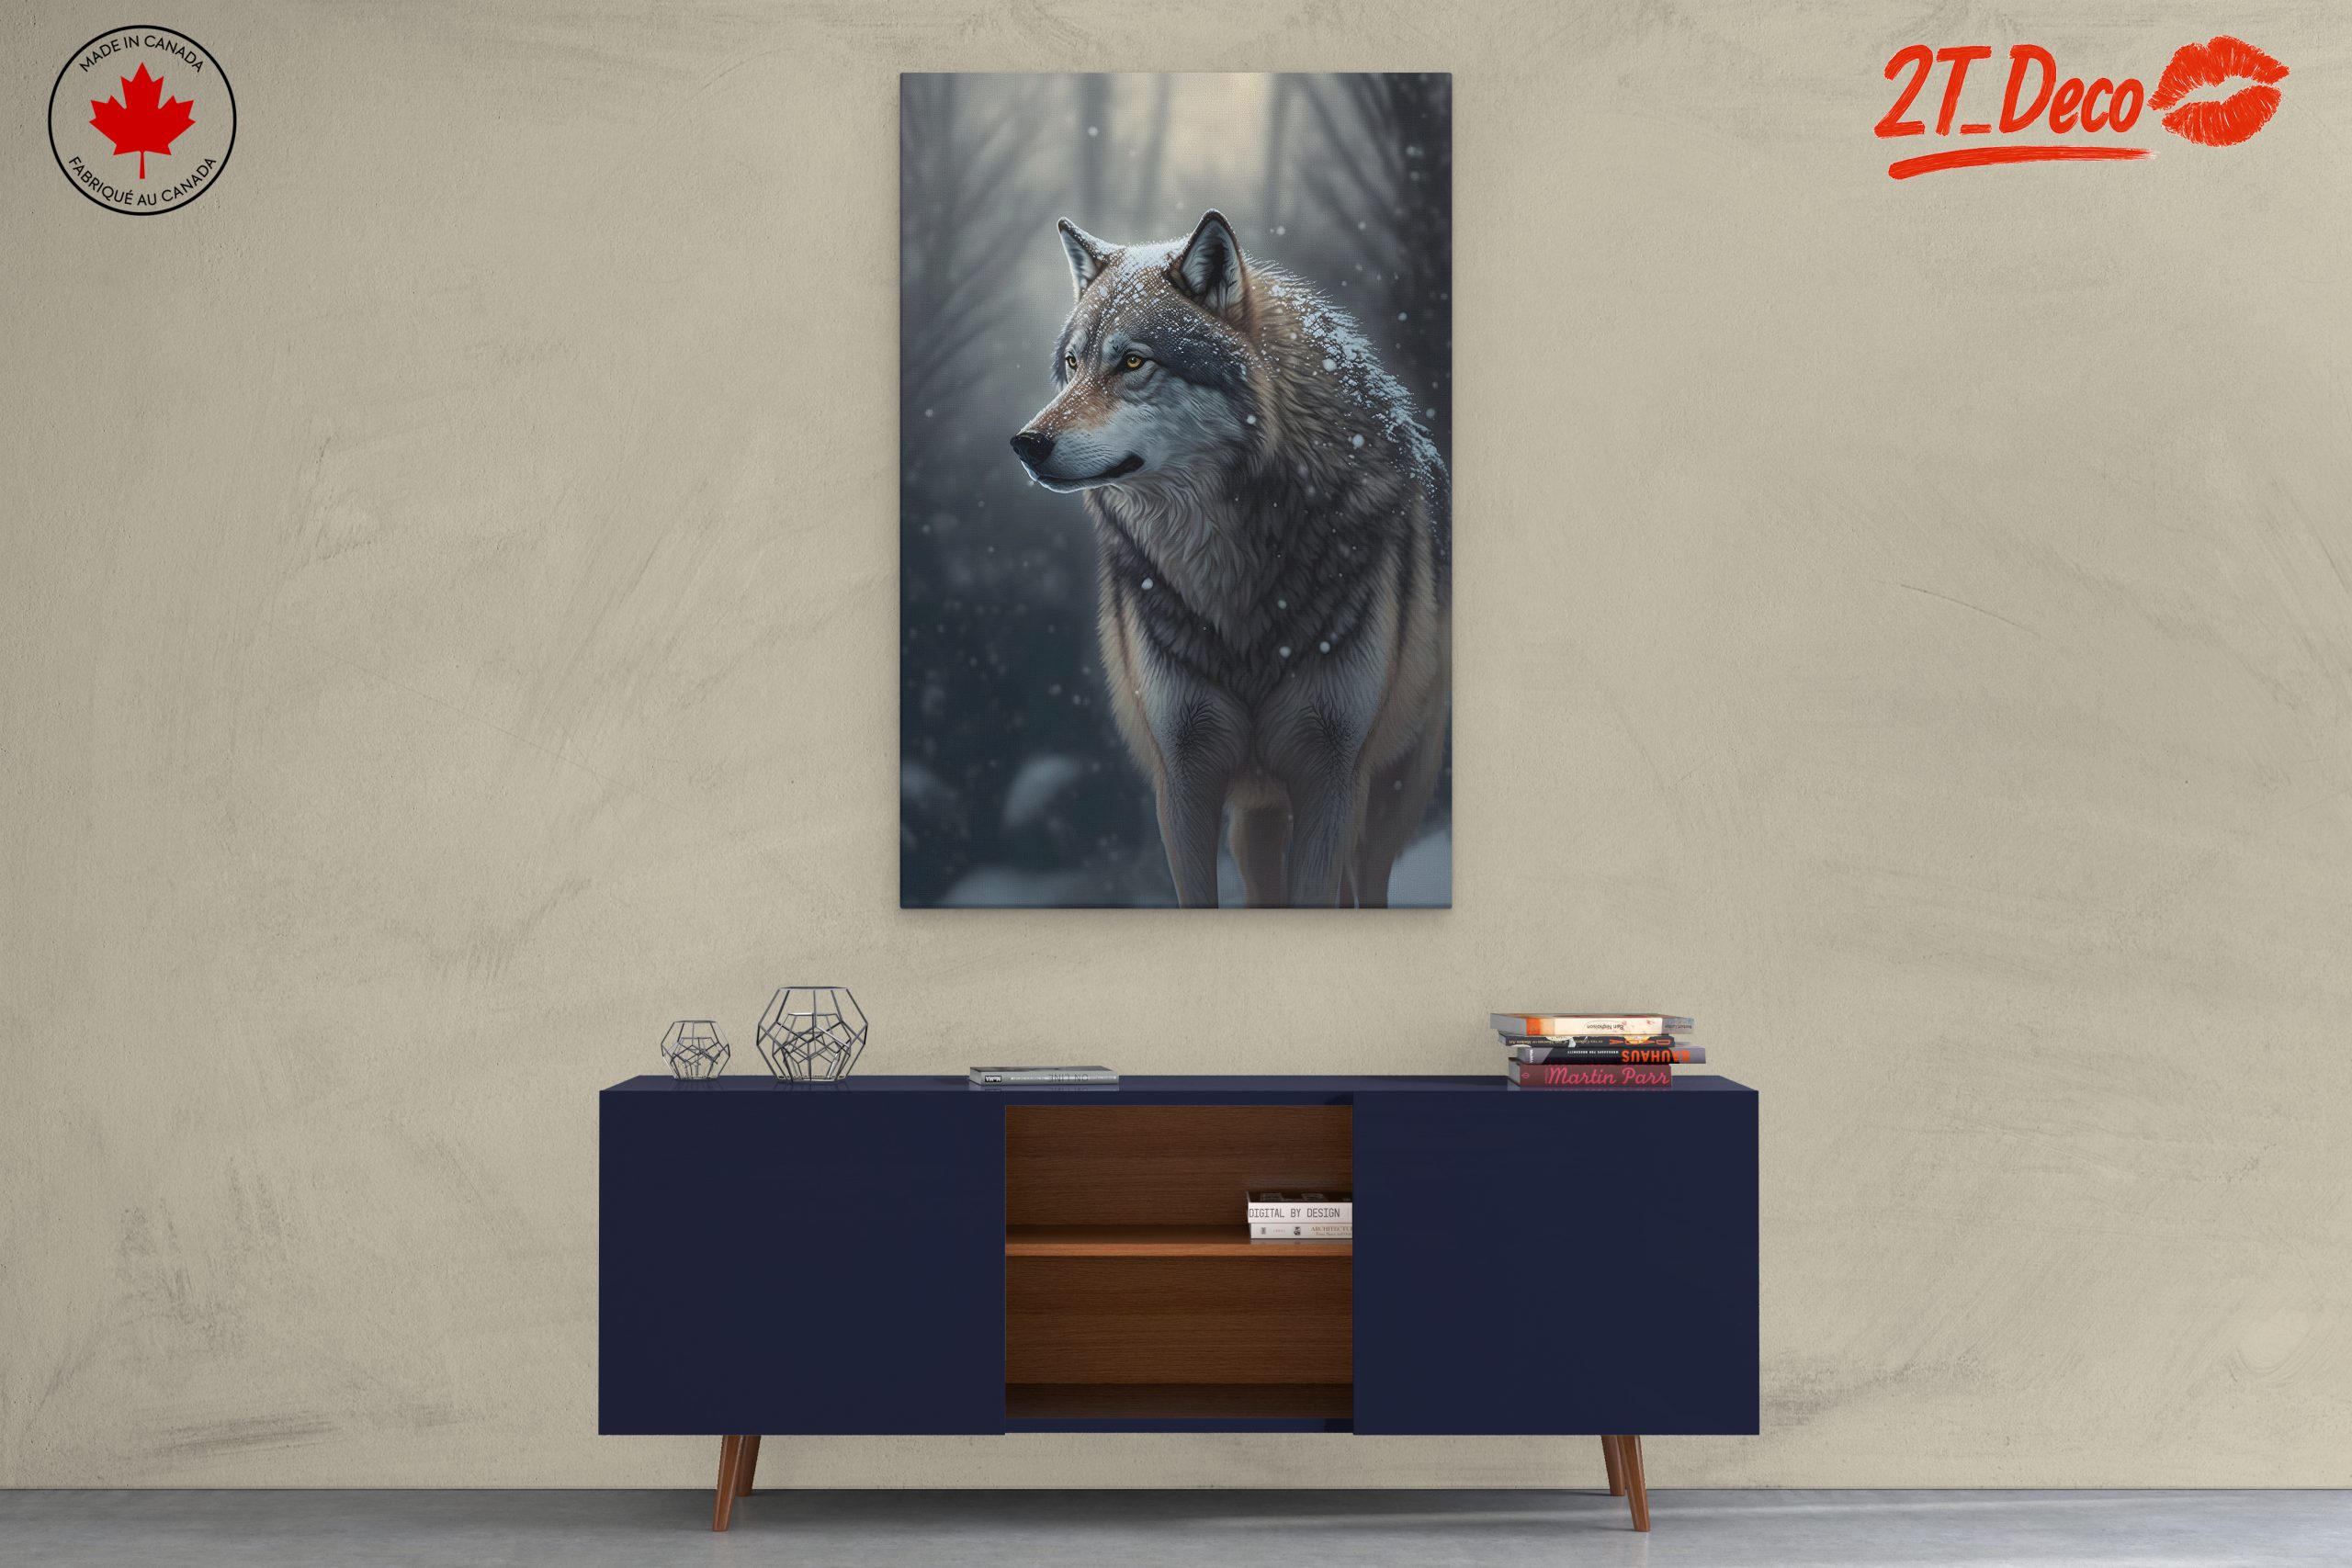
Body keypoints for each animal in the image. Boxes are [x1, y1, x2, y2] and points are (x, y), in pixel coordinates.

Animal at [1011, 210, 1449, 908]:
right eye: (1074, 364)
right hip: (1258, 814)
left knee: (1369, 882)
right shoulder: (1183, 777)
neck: (1230, 577)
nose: (1025, 444)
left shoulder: (1333, 776)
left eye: (1132, 361)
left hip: (1394, 787)